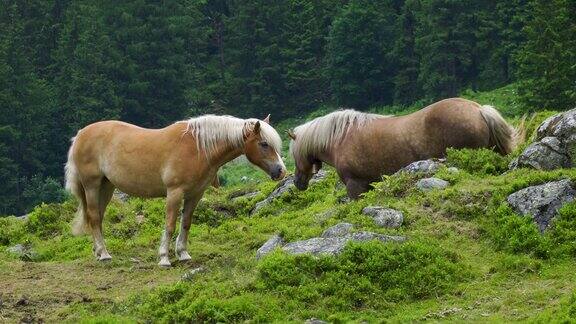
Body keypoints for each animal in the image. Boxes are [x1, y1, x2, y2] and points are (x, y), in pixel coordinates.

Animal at [65, 115, 286, 268]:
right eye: (264, 144)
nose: (281, 171)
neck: (197, 149)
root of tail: (81, 134)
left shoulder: (195, 194)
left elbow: (186, 223)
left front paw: (183, 254)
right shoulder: (175, 193)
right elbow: (170, 224)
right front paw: (164, 258)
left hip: (106, 186)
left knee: (98, 217)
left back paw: (98, 251)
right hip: (92, 185)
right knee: (94, 216)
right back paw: (104, 254)